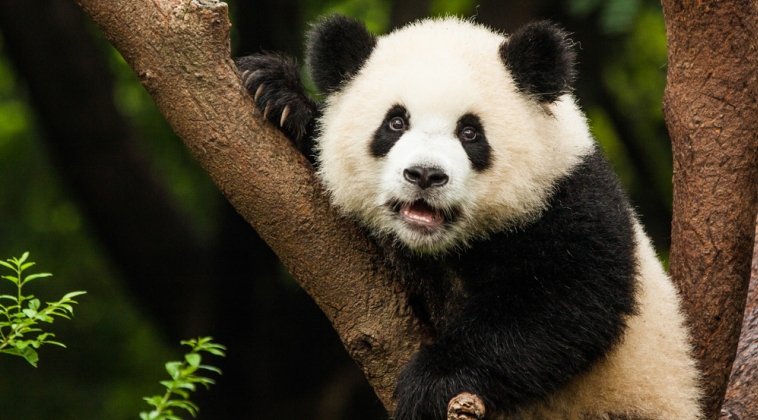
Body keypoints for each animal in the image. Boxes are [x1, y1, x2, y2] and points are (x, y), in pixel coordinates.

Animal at [236, 15, 702, 420]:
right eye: (395, 123)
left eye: (470, 132)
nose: (425, 175)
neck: (443, 248)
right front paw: (278, 95)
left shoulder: (570, 198)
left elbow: (566, 302)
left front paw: (431, 382)